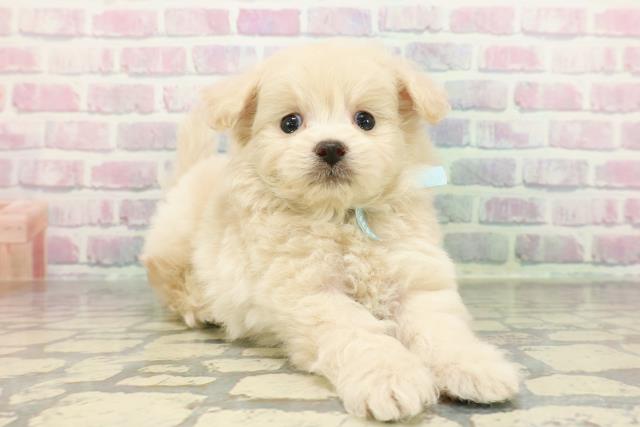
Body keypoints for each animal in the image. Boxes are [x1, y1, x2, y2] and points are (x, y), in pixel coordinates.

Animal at [141, 40, 519, 421]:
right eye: (290, 123)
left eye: (365, 120)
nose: (331, 147)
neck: (342, 215)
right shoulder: (310, 292)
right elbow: (359, 331)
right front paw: (390, 378)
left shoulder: (417, 278)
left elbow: (440, 328)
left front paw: (476, 368)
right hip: (176, 242)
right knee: (169, 282)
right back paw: (203, 308)